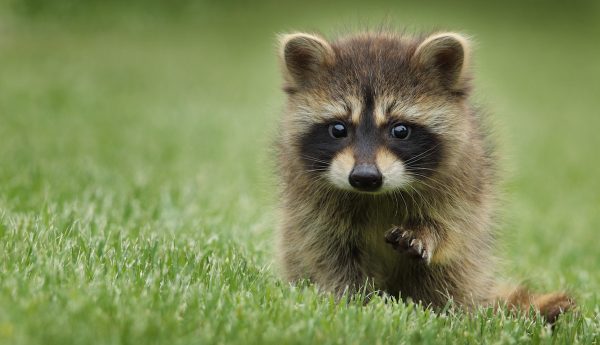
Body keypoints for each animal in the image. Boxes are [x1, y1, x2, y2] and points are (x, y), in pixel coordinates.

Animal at [274, 30, 576, 322]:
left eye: (400, 130)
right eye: (338, 129)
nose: (365, 177)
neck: (377, 195)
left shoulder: (464, 180)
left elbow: (452, 226)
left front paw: (426, 233)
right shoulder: (310, 202)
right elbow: (327, 251)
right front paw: (353, 300)